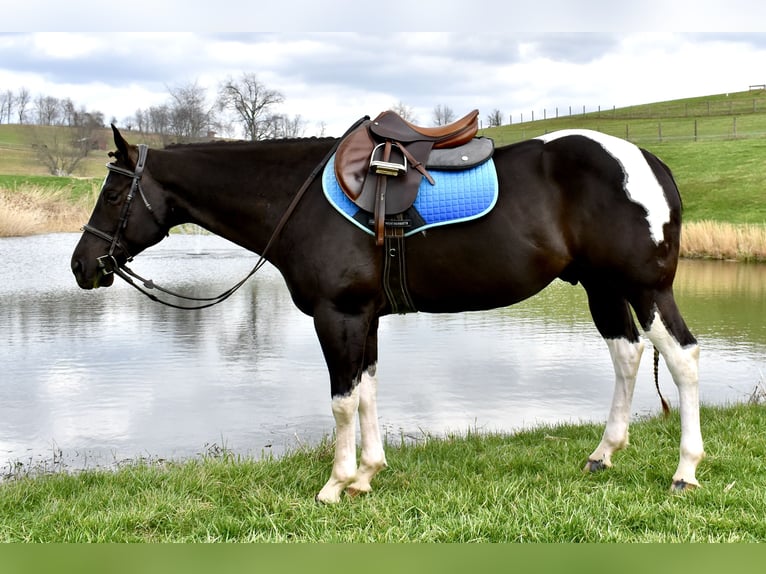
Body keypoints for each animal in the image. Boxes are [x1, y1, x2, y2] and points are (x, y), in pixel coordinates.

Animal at [71, 123, 704, 503]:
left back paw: (685, 471)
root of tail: (648, 162)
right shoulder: (364, 319)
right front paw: (367, 476)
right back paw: (603, 454)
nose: (81, 265)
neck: (300, 200)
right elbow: (368, 392)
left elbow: (342, 401)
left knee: (682, 359)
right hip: (603, 288)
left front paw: (336, 483)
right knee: (627, 356)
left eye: (111, 194)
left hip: (646, 288)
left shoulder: (338, 315)